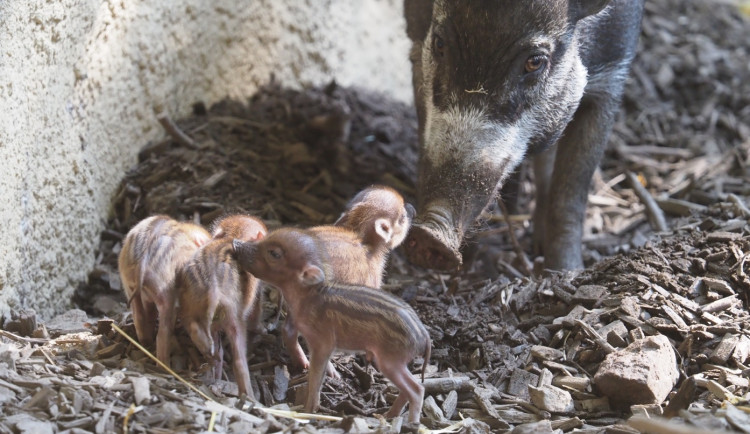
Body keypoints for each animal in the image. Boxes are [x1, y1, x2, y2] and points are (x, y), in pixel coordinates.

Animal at [406, 0, 648, 272]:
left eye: (535, 61)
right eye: (439, 43)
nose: (429, 234)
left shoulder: (613, 74)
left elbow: (572, 190)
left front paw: (567, 272)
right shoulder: (417, 47)